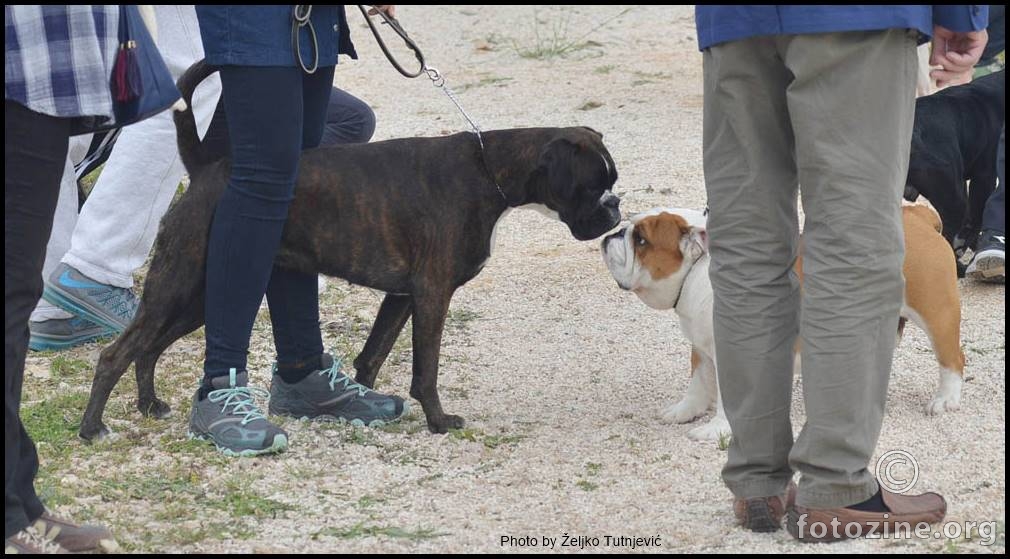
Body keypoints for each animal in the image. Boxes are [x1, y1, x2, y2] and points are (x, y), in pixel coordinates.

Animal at [80, 62, 622, 440]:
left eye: (611, 183)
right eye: (593, 186)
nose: (616, 207)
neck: (488, 170)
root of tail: (207, 169)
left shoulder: (403, 297)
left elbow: (374, 355)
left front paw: (367, 401)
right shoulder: (432, 295)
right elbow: (426, 369)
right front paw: (438, 421)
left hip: (198, 297)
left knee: (148, 348)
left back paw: (149, 405)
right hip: (177, 286)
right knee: (116, 353)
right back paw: (92, 428)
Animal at [601, 205, 965, 440]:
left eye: (641, 240)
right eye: (629, 229)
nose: (612, 234)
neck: (698, 271)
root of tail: (916, 216)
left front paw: (718, 429)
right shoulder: (701, 349)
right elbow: (698, 384)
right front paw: (684, 411)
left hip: (936, 312)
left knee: (953, 359)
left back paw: (945, 400)